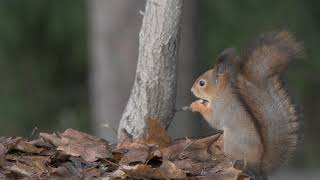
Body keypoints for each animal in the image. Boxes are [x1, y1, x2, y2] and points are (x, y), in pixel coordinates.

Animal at [190, 30, 302, 173]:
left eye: (202, 83)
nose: (191, 90)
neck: (220, 93)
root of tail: (258, 162)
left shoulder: (221, 108)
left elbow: (214, 120)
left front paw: (196, 105)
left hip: (232, 141)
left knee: (232, 160)